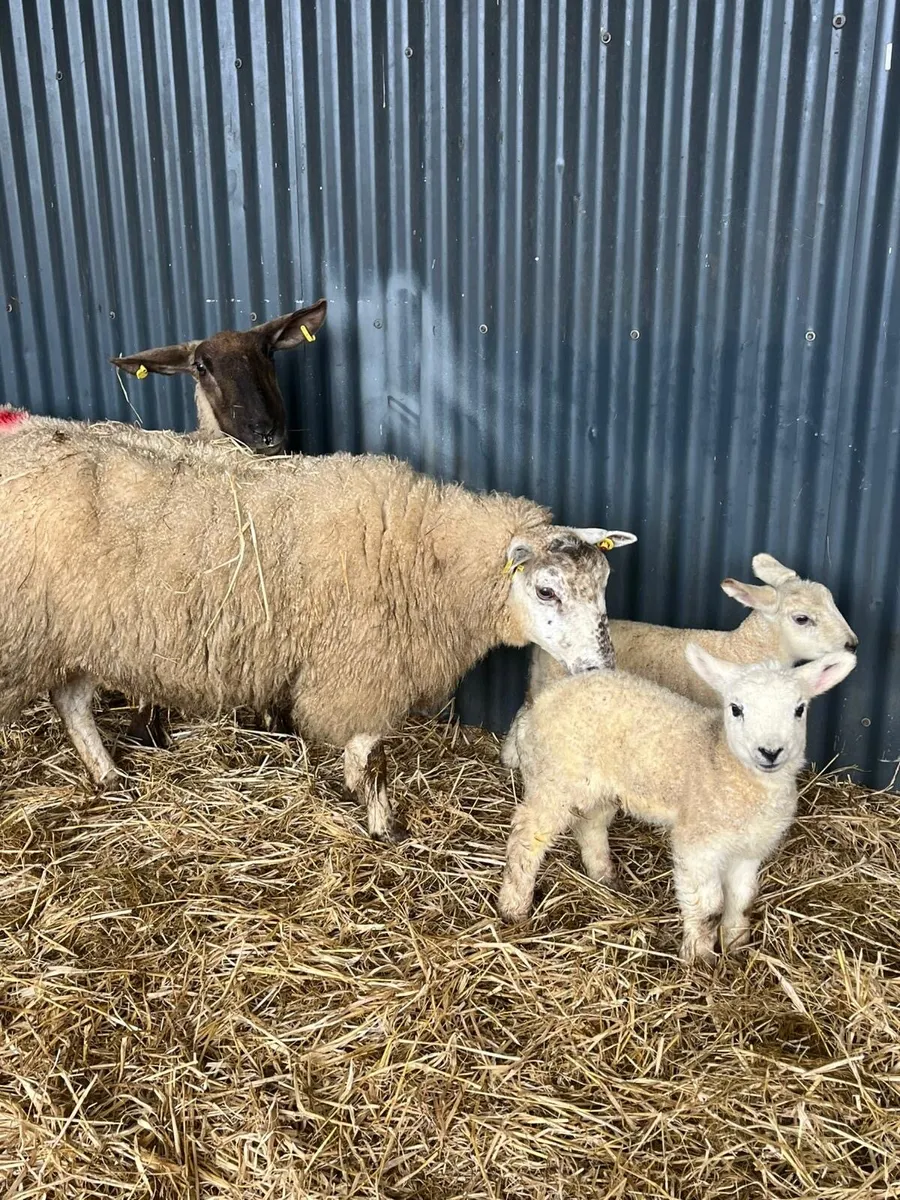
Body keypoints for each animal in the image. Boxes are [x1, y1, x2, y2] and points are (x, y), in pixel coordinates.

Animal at [0, 409, 636, 840]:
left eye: (604, 583)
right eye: (546, 590)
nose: (599, 668)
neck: (419, 552)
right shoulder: (357, 669)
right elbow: (369, 751)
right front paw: (381, 819)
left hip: (71, 632)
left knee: (72, 702)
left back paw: (107, 775)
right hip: (30, 634)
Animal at [499, 645, 857, 961]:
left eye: (799, 709)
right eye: (736, 708)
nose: (770, 752)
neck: (722, 761)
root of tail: (539, 703)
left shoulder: (751, 849)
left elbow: (742, 899)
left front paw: (736, 945)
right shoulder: (697, 842)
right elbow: (709, 906)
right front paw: (699, 958)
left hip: (601, 785)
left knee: (591, 825)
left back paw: (604, 876)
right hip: (555, 779)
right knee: (527, 837)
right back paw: (514, 906)